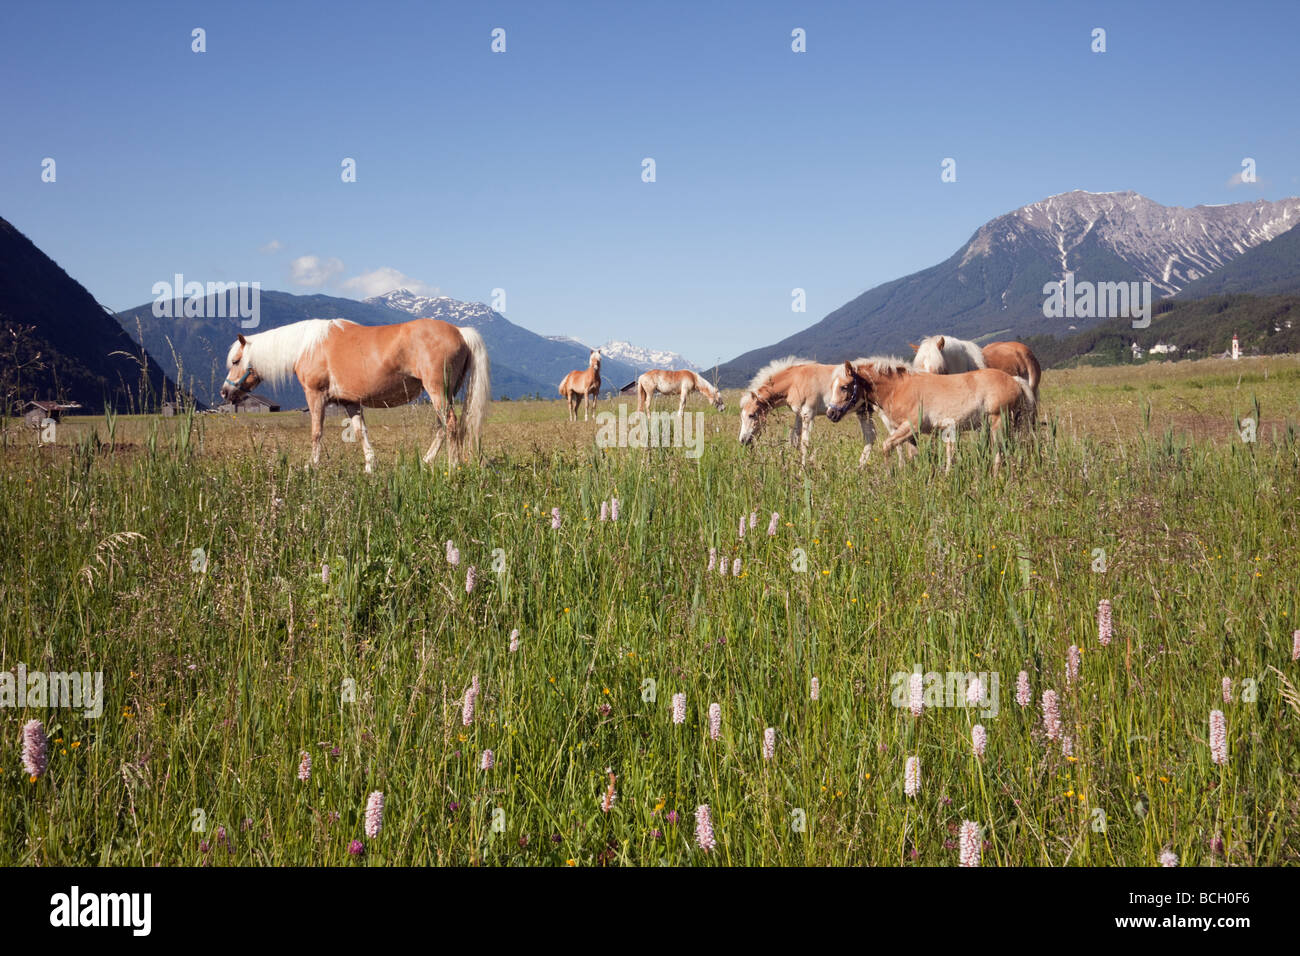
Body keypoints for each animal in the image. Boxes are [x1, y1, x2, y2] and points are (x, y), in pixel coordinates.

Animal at [738, 356, 878, 465]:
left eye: (752, 415)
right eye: (742, 417)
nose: (743, 440)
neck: (795, 381)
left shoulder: (808, 414)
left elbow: (804, 445)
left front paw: (802, 471)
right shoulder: (799, 415)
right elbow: (793, 440)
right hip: (864, 411)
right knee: (870, 437)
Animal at [832, 356, 1034, 473]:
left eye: (844, 387)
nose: (831, 413)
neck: (899, 387)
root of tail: (1014, 379)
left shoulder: (910, 427)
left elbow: (886, 446)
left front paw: (889, 475)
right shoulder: (908, 433)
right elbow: (912, 454)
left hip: (998, 423)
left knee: (998, 451)